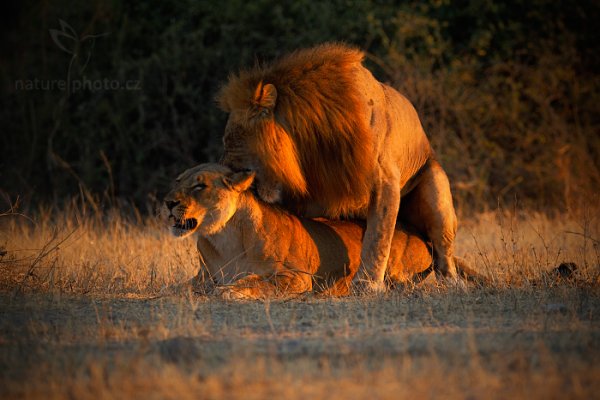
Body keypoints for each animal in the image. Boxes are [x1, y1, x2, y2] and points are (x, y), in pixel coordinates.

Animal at [162, 163, 438, 300]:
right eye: (177, 181)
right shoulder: (203, 277)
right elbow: (178, 287)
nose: (168, 202)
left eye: (200, 186)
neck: (224, 237)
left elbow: (258, 281)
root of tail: (420, 235)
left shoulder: (298, 277)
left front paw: (231, 290)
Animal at [218, 43, 458, 290]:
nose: (224, 169)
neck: (308, 147)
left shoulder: (385, 180)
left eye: (228, 141)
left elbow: (378, 237)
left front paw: (367, 284)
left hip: (436, 190)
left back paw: (451, 282)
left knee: (443, 248)